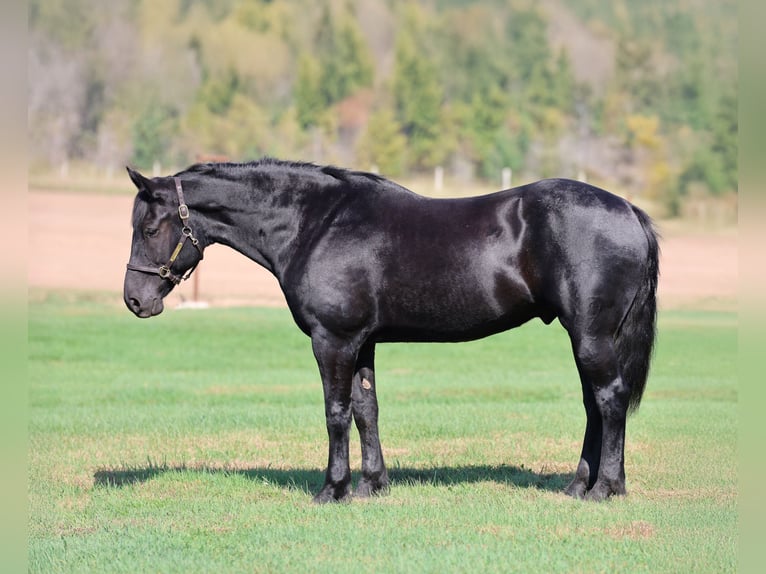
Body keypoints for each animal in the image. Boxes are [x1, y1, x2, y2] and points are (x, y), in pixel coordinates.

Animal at [123, 158, 659, 503]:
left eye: (149, 229)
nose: (135, 299)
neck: (316, 223)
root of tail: (629, 211)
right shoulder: (362, 343)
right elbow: (367, 410)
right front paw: (371, 484)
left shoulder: (333, 340)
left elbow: (336, 413)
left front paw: (333, 489)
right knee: (594, 405)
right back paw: (579, 486)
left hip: (590, 336)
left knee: (609, 400)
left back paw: (605, 488)